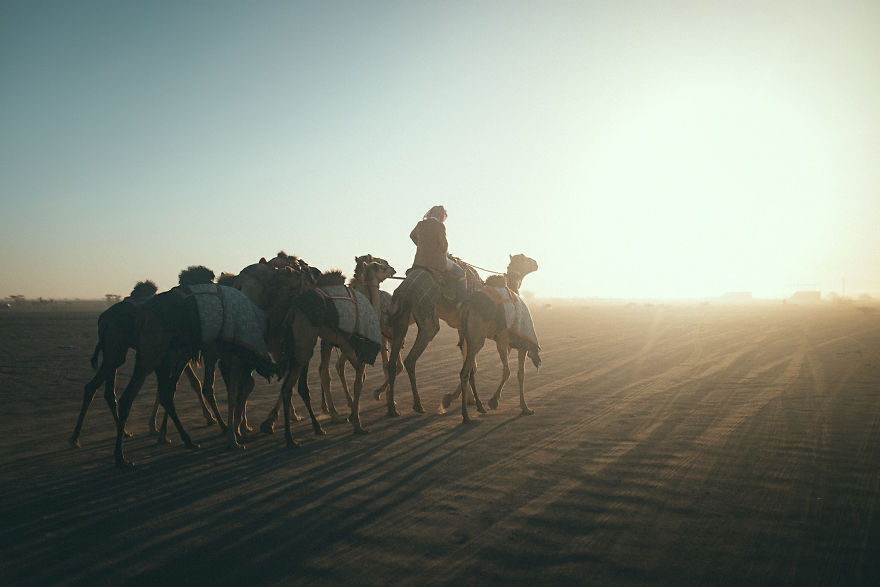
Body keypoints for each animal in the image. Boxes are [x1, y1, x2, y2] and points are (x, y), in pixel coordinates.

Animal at [69, 280, 213, 450]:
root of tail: (103, 319)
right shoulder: (177, 356)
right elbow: (187, 384)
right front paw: (209, 418)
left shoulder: (171, 358)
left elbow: (169, 389)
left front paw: (157, 429)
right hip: (117, 350)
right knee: (101, 388)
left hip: (113, 353)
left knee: (104, 390)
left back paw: (119, 432)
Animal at [112, 280, 276, 468]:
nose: (273, 370)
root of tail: (144, 314)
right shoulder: (229, 356)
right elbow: (234, 390)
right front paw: (235, 438)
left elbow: (240, 387)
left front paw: (240, 430)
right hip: (159, 353)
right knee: (154, 393)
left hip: (159, 355)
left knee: (149, 395)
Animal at [450, 253, 540, 422]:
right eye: (524, 259)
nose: (536, 263)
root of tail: (467, 307)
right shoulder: (513, 340)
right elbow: (516, 372)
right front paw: (523, 407)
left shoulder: (502, 340)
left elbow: (507, 370)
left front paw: (450, 397)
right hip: (477, 338)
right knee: (466, 371)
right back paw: (466, 415)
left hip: (469, 337)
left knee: (467, 369)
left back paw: (477, 406)